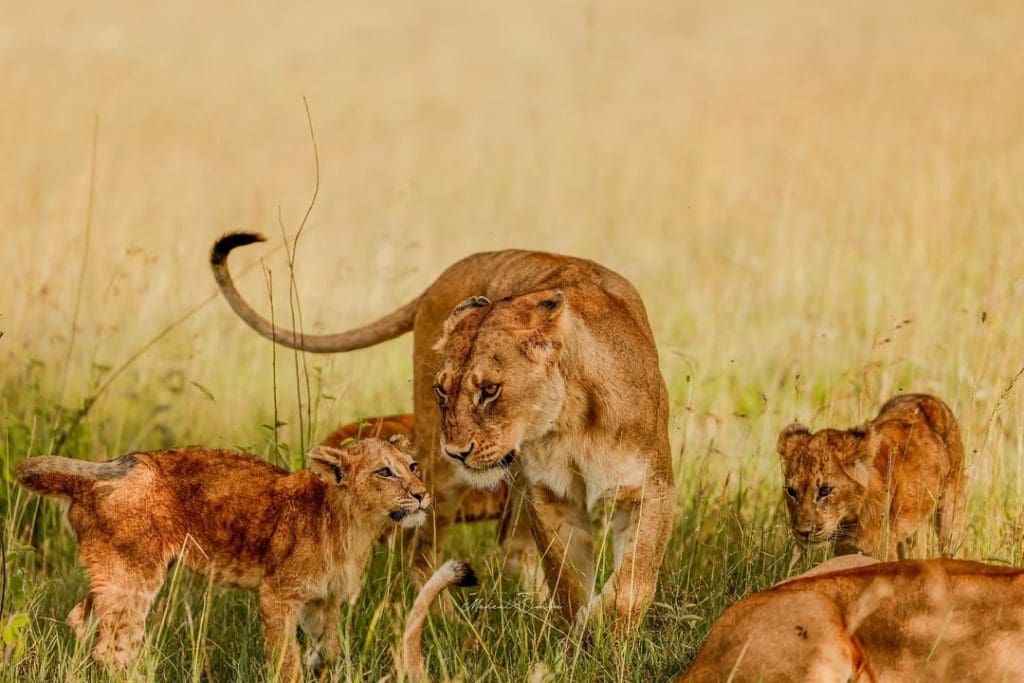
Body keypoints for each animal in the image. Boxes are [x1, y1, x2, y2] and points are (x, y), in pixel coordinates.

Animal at [16, 436, 428, 679]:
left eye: (412, 466)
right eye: (384, 472)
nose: (423, 494)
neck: (355, 526)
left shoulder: (323, 601)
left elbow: (328, 650)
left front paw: (318, 665)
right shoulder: (278, 594)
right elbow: (286, 658)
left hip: (114, 573)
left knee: (82, 619)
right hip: (133, 574)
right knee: (112, 646)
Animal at [212, 236, 675, 626]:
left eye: (490, 390)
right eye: (442, 388)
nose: (457, 450)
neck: (571, 420)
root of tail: (445, 274)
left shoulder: (652, 486)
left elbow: (632, 580)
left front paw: (604, 633)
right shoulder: (549, 497)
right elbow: (568, 582)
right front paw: (582, 635)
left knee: (508, 545)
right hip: (438, 479)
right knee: (420, 554)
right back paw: (447, 621)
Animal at [776, 393, 966, 560]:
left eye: (824, 491)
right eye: (791, 492)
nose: (802, 532)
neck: (847, 521)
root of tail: (928, 397)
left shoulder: (882, 551)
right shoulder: (845, 551)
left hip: (950, 511)